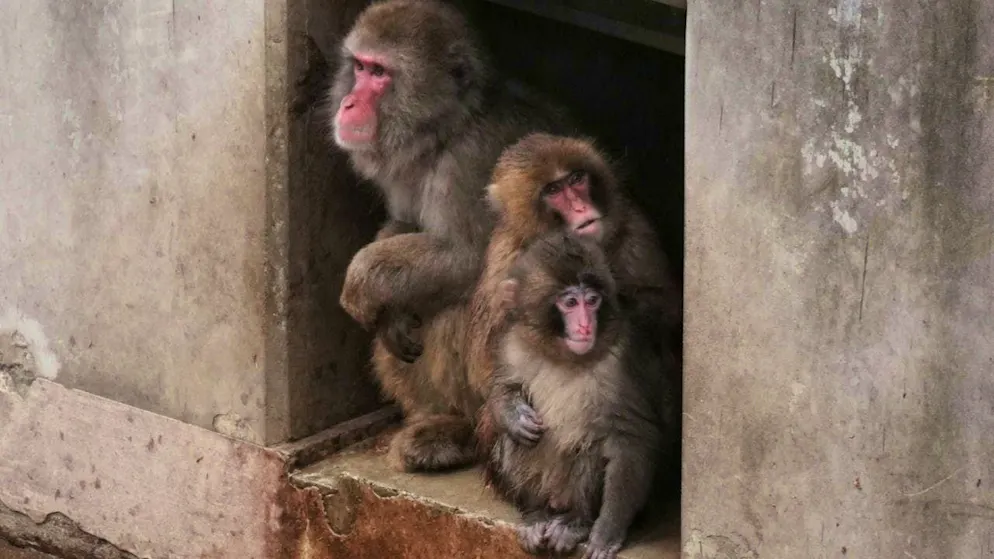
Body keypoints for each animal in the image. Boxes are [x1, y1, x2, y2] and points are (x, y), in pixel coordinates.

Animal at [327, 0, 573, 472]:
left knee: (459, 304)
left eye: (380, 73)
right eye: (360, 66)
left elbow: (469, 259)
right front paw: (389, 313)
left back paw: (462, 432)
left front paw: (361, 282)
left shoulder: (471, 163)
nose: (348, 102)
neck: (446, 131)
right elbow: (403, 226)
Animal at [479, 231, 675, 559]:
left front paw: (607, 531)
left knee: (590, 446)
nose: (585, 325)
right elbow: (500, 389)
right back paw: (535, 515)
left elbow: (631, 438)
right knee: (517, 442)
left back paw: (576, 522)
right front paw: (513, 414)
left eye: (592, 301)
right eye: (570, 302)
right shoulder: (512, 343)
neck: (564, 356)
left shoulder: (621, 362)